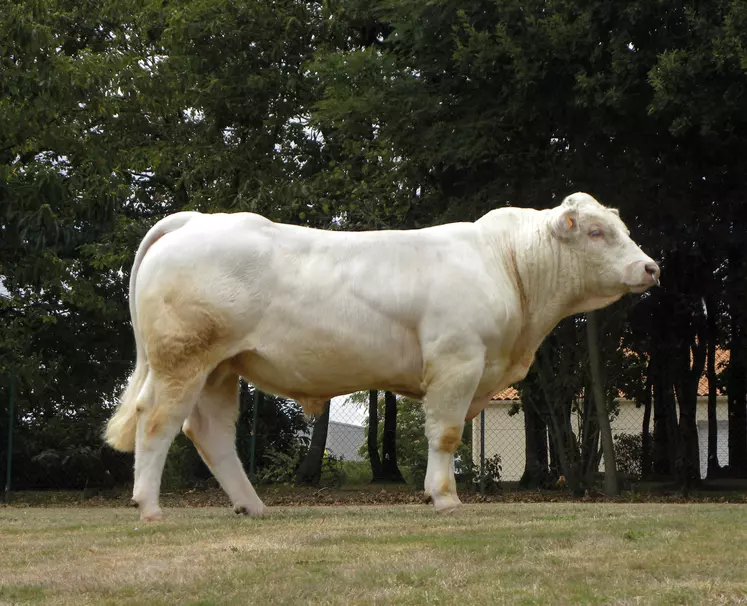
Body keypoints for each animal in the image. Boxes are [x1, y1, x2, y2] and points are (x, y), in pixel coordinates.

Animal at [105, 192, 660, 520]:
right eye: (596, 233)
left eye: (624, 229)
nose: (650, 267)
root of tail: (196, 219)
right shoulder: (457, 361)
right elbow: (447, 434)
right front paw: (444, 497)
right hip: (183, 359)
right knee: (157, 420)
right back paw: (149, 507)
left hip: (220, 367)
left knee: (211, 433)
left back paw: (253, 506)